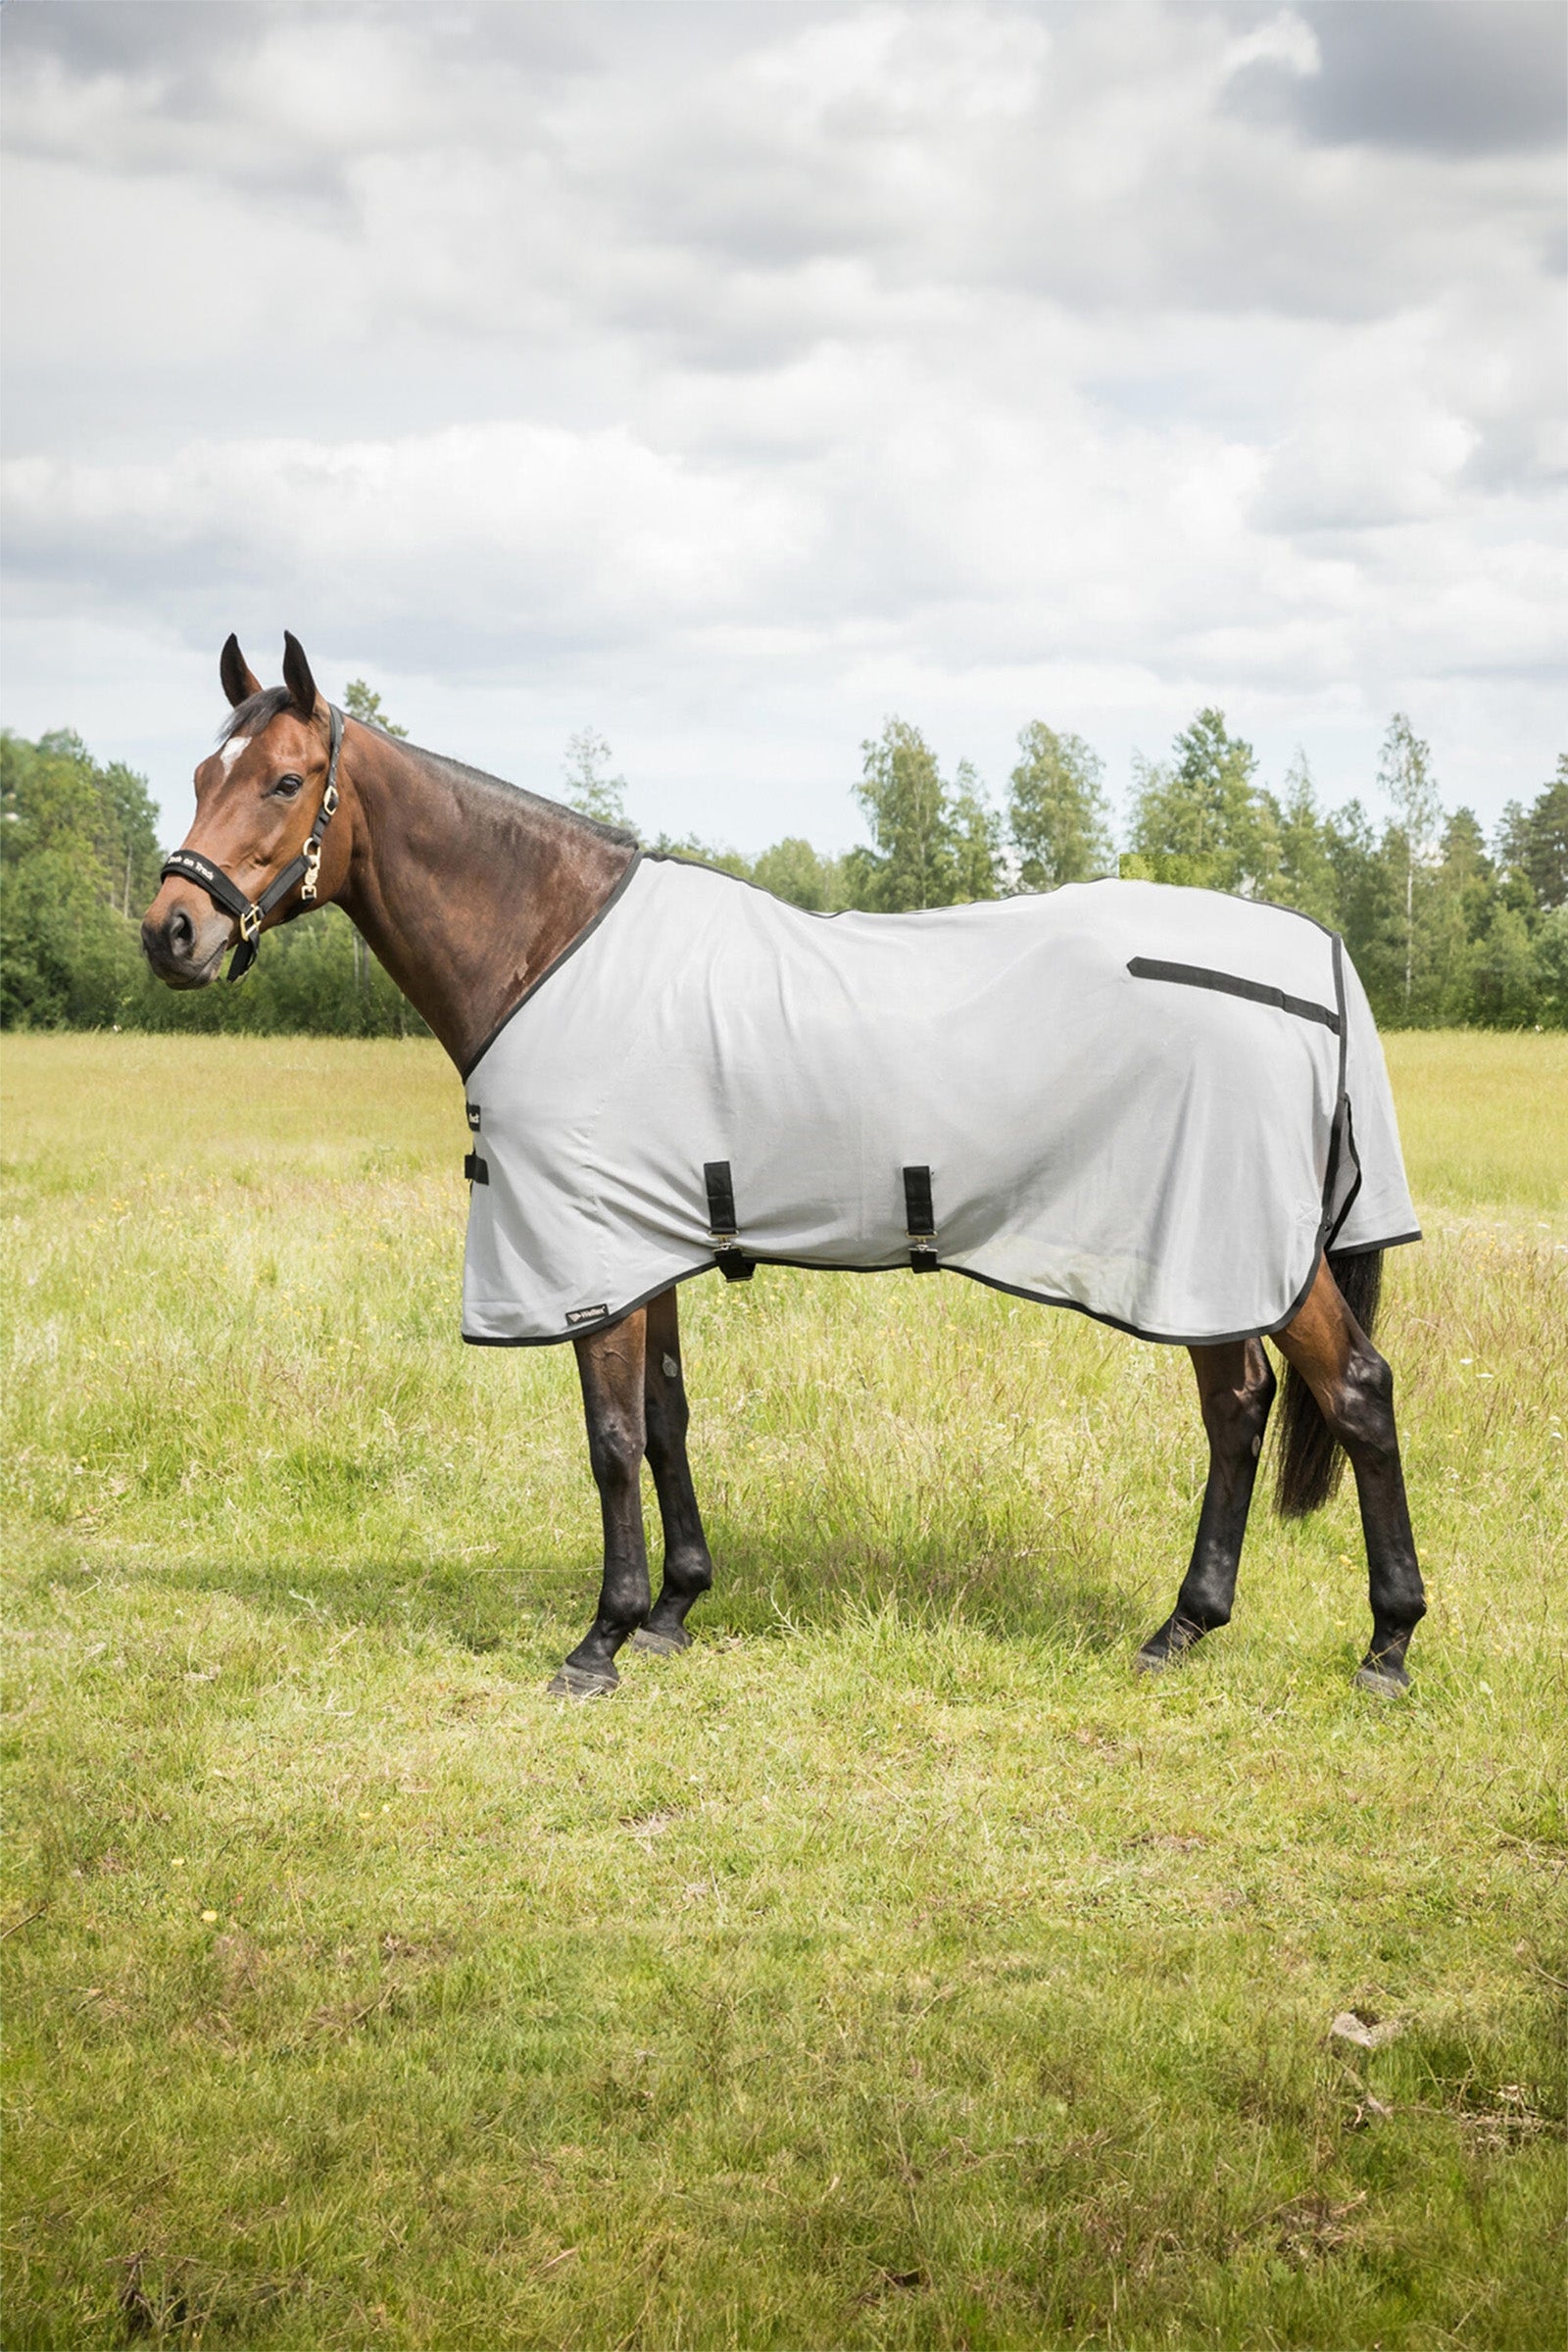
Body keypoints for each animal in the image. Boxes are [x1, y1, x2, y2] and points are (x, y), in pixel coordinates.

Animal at [141, 634, 1427, 1699]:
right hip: (1201, 1256)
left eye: (285, 781)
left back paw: (1387, 1644)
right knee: (1242, 1406)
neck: (552, 945)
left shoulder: (589, 1254)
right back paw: (1182, 1629)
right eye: (201, 775)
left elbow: (610, 1443)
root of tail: (1312, 955)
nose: (170, 934)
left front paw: (600, 1641)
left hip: (1229, 1241)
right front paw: (674, 1609)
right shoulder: (645, 1245)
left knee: (1352, 1391)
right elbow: (665, 1421)